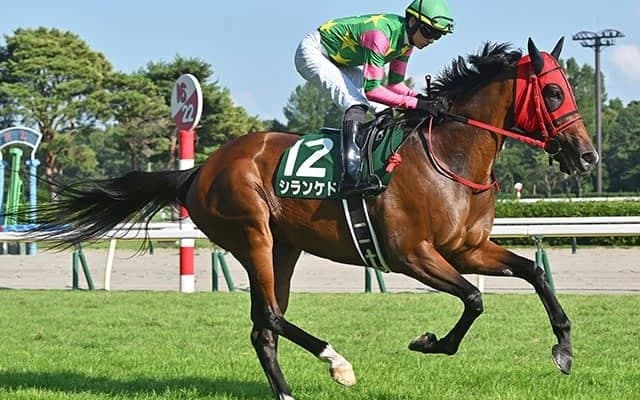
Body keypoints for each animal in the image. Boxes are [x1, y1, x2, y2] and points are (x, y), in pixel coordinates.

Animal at [9, 38, 597, 400]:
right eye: (552, 91)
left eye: (568, 88)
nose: (587, 156)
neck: (448, 155)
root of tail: (198, 170)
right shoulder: (412, 255)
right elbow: (474, 299)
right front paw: (430, 342)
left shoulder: (466, 248)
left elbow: (533, 271)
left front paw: (565, 350)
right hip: (253, 237)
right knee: (269, 317)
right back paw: (333, 364)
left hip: (285, 247)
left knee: (263, 326)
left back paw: (297, 385)